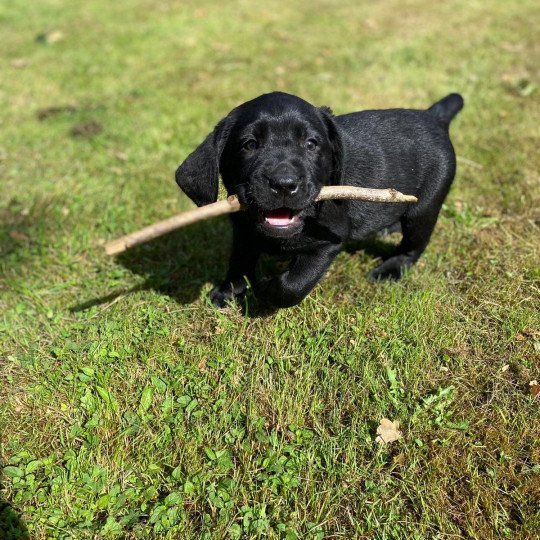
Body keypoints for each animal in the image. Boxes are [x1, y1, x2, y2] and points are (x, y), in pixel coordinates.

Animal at [175, 93, 462, 308]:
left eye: (311, 144)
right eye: (249, 145)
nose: (284, 184)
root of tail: (433, 116)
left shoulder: (327, 242)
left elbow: (292, 286)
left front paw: (265, 288)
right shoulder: (243, 232)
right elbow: (239, 260)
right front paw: (228, 289)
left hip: (424, 207)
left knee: (413, 246)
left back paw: (391, 269)